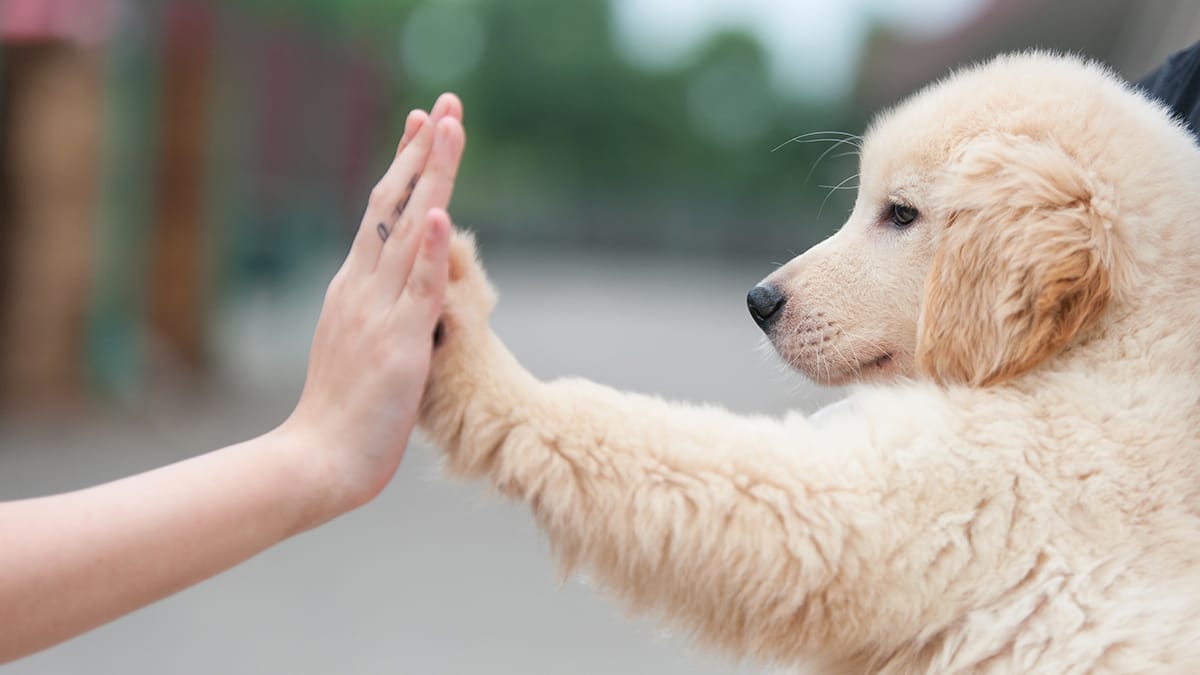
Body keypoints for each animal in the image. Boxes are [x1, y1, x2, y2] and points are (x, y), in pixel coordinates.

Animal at [417, 53, 1200, 672]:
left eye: (901, 214)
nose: (759, 301)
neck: (1110, 344)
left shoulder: (951, 498)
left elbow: (675, 459)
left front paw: (469, 352)